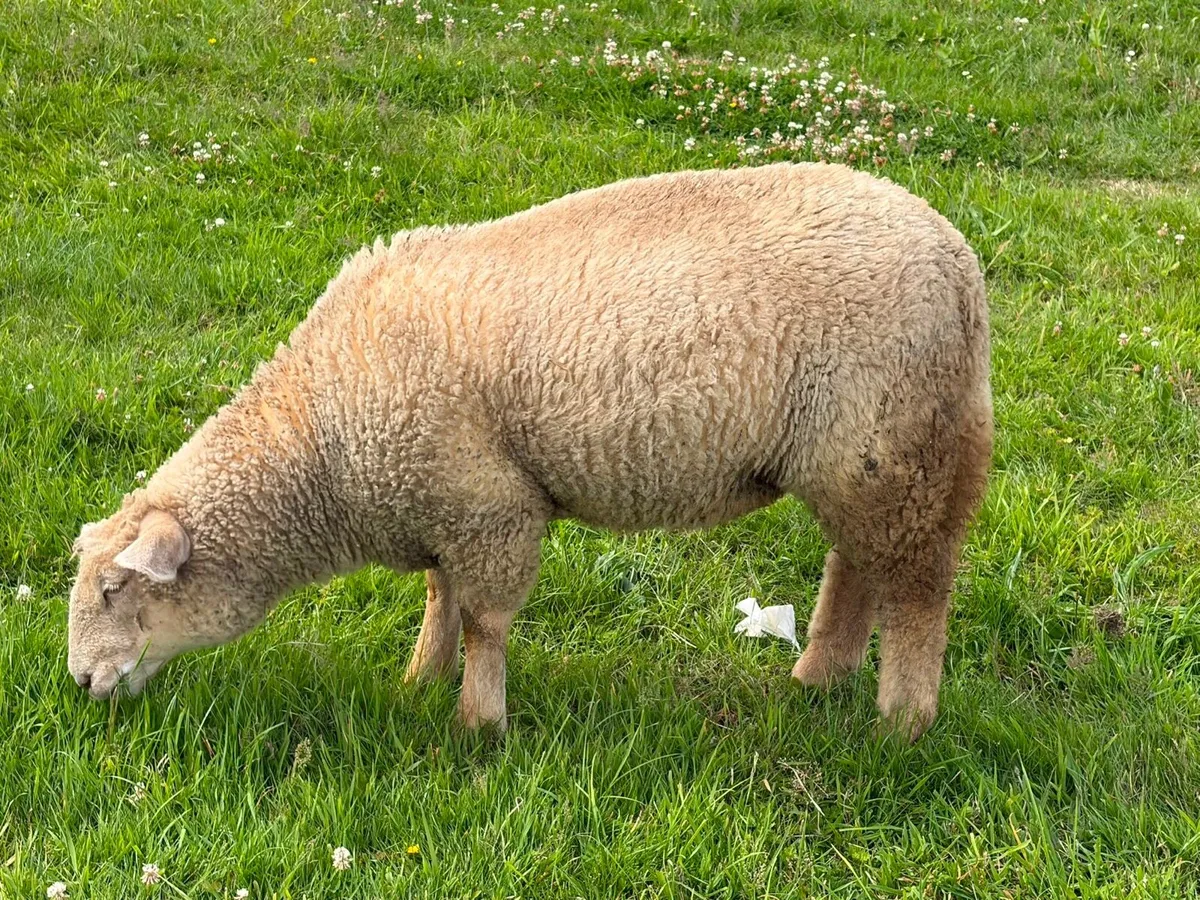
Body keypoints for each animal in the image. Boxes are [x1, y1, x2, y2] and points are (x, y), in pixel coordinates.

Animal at [68, 161, 993, 741]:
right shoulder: (440, 500)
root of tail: (959, 262)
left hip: (895, 444)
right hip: (862, 456)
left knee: (918, 587)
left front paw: (478, 725)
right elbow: (441, 599)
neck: (321, 445)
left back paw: (901, 722)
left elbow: (484, 620)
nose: (78, 685)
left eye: (117, 590)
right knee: (857, 565)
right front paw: (418, 679)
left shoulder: (489, 506)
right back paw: (818, 677)